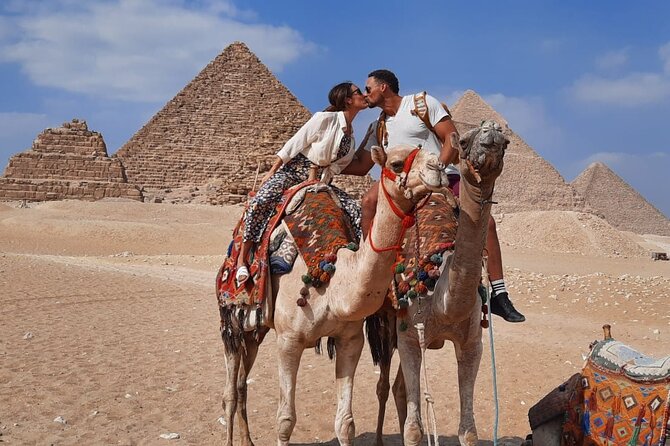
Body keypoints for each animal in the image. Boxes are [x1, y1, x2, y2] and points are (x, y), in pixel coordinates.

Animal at [219, 144, 453, 446]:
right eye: (397, 163)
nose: (439, 168)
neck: (332, 283)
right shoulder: (288, 340)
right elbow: (285, 421)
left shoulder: (350, 340)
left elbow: (345, 424)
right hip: (232, 320)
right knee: (229, 391)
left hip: (256, 329)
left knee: (241, 383)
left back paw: (247, 440)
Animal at [368, 120, 508, 446]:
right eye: (465, 141)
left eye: (506, 142)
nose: (492, 132)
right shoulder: (409, 337)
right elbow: (414, 429)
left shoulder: (472, 344)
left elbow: (468, 431)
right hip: (387, 327)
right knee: (384, 385)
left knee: (398, 388)